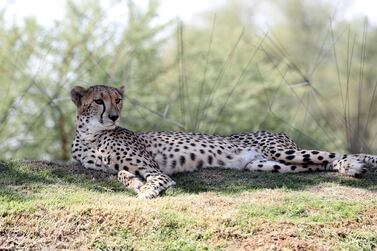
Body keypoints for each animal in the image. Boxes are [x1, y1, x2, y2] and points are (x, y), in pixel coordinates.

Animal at [71, 85, 376, 199]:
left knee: (333, 154)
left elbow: (158, 179)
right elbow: (121, 173)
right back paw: (353, 167)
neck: (91, 135)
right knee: (321, 162)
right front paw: (134, 184)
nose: (114, 115)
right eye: (98, 101)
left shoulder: (154, 169)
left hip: (283, 152)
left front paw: (146, 190)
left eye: (118, 99)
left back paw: (359, 163)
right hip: (268, 164)